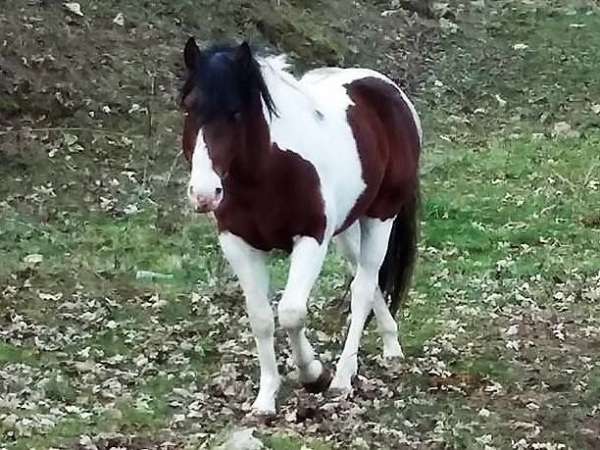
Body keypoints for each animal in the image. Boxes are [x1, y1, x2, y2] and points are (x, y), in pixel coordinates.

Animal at [180, 38, 420, 414]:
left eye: (236, 112)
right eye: (190, 109)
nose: (204, 193)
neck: (268, 172)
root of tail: (385, 88)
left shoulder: (311, 239)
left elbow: (292, 313)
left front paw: (314, 373)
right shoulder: (238, 244)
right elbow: (261, 318)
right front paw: (265, 399)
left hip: (381, 217)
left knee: (363, 289)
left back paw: (343, 378)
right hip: (348, 231)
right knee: (369, 282)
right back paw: (391, 346)